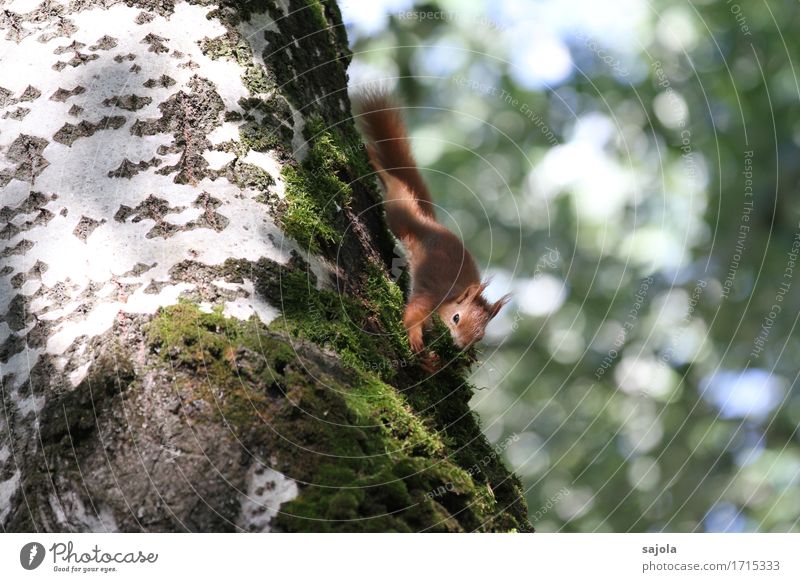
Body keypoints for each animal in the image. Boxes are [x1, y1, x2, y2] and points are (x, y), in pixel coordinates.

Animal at [354, 91, 510, 360]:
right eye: (456, 318)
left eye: (480, 336)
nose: (459, 345)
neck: (452, 295)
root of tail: (431, 223)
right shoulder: (429, 297)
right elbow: (412, 314)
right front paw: (415, 337)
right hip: (400, 213)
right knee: (395, 185)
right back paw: (377, 163)